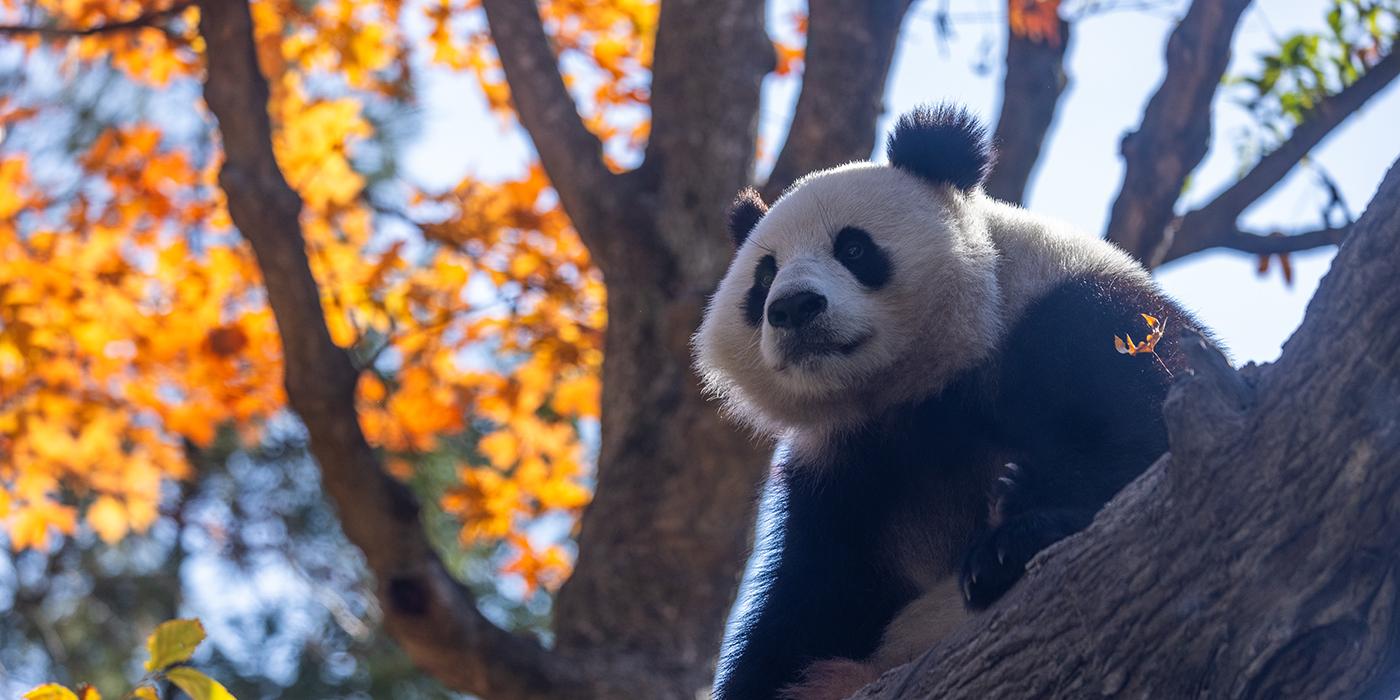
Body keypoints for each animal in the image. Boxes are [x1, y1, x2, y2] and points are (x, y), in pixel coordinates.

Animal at [691, 105, 1215, 700]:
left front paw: (1012, 535)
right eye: (764, 276)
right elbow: (809, 607)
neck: (914, 387)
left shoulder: (1080, 318)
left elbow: (1142, 445)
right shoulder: (841, 475)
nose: (794, 307)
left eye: (853, 248)